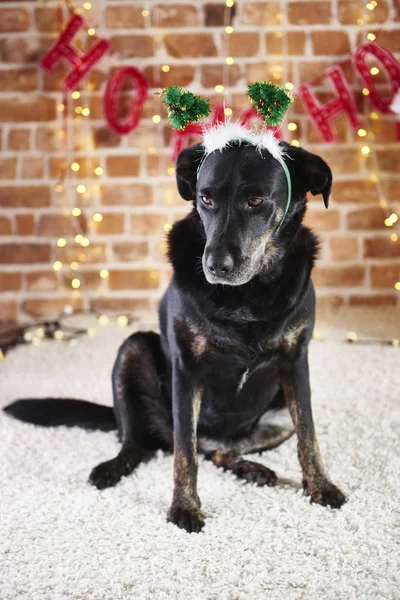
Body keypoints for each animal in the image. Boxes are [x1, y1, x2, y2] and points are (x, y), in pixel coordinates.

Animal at [4, 142, 346, 536]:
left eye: (256, 201)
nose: (215, 266)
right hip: (133, 350)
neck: (247, 296)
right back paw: (111, 468)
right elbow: (184, 451)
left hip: (275, 417)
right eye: (205, 198)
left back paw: (252, 469)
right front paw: (184, 507)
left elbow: (309, 434)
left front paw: (320, 485)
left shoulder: (295, 363)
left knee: (219, 452)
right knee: (141, 444)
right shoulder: (187, 368)